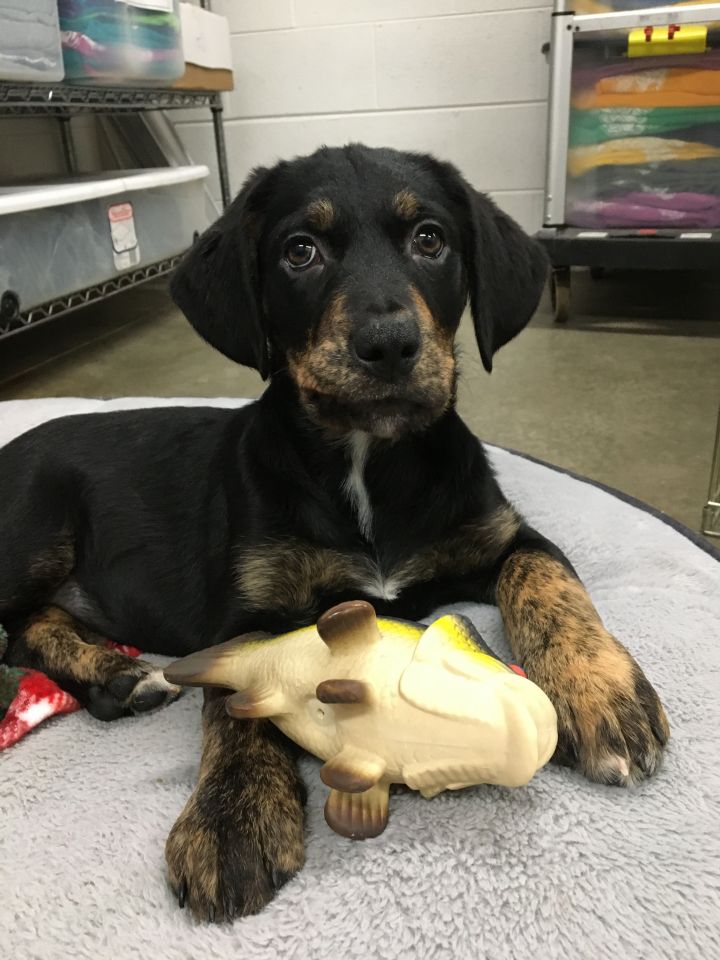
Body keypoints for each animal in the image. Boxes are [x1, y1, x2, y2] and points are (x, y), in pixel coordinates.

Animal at [0, 144, 668, 924]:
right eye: (300, 251)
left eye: (430, 239)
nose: (389, 345)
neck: (365, 461)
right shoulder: (248, 603)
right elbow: (235, 702)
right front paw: (232, 817)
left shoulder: (509, 536)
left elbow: (552, 587)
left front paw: (603, 696)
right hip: (34, 527)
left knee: (25, 627)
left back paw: (115, 675)